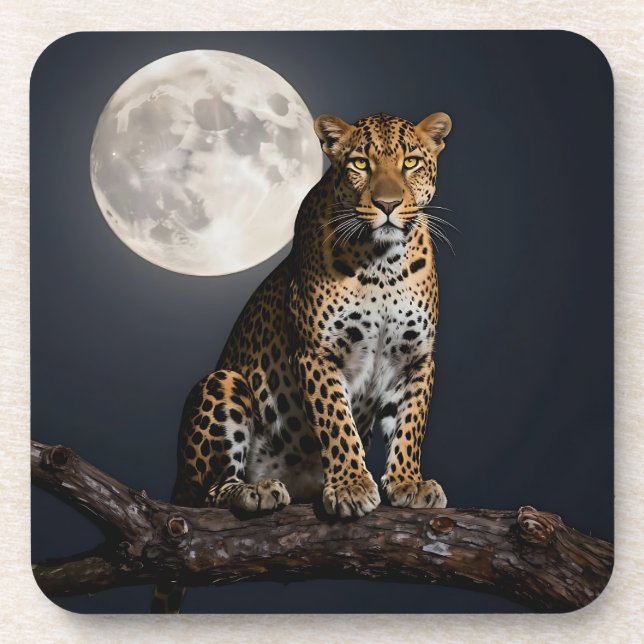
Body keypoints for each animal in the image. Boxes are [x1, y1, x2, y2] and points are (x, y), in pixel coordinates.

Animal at [152, 111, 452, 612]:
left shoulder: (416, 359)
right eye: (360, 163)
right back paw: (254, 491)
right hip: (223, 383)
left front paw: (408, 482)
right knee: (207, 494)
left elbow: (411, 426)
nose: (388, 204)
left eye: (410, 162)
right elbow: (337, 422)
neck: (383, 264)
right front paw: (351, 486)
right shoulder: (318, 353)